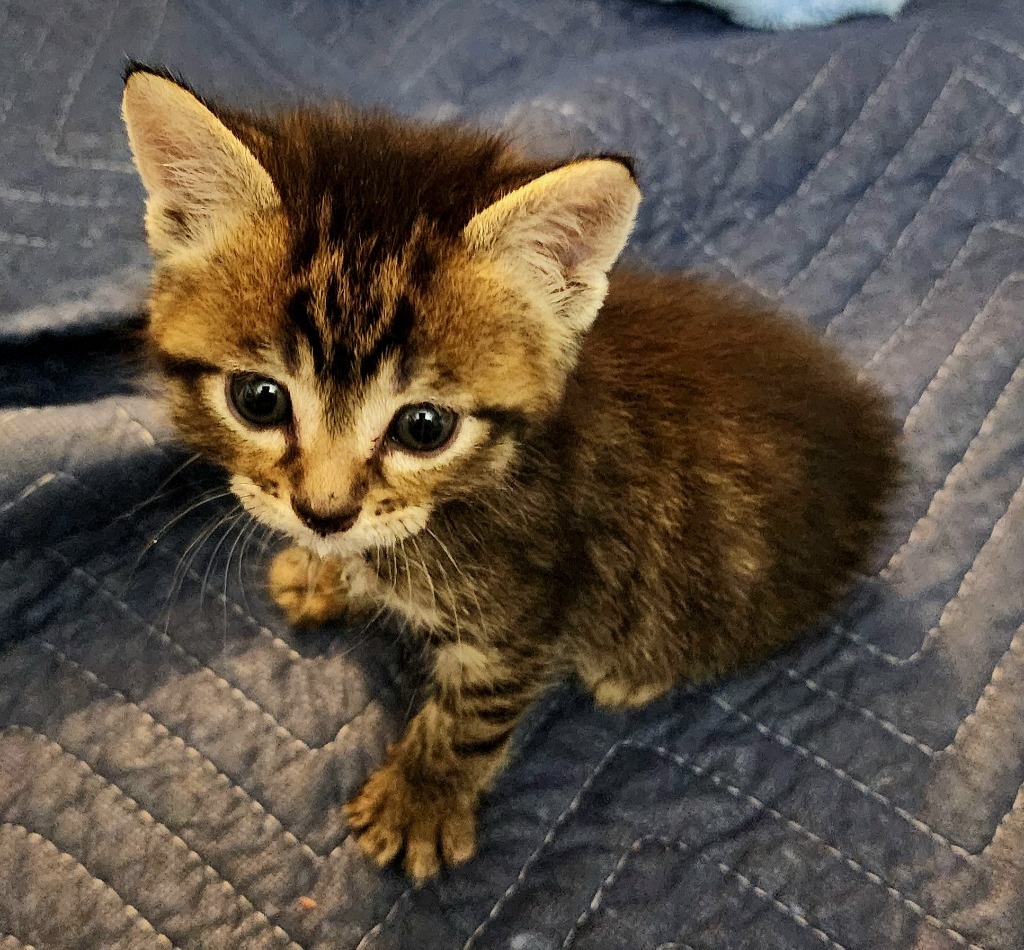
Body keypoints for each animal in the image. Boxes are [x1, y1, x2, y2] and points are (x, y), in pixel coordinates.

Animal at [121, 65, 905, 884]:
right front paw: (323, 571)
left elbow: (472, 713)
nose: (324, 513)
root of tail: (873, 444)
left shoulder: (532, 609)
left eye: (424, 427)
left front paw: (421, 800)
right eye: (259, 399)